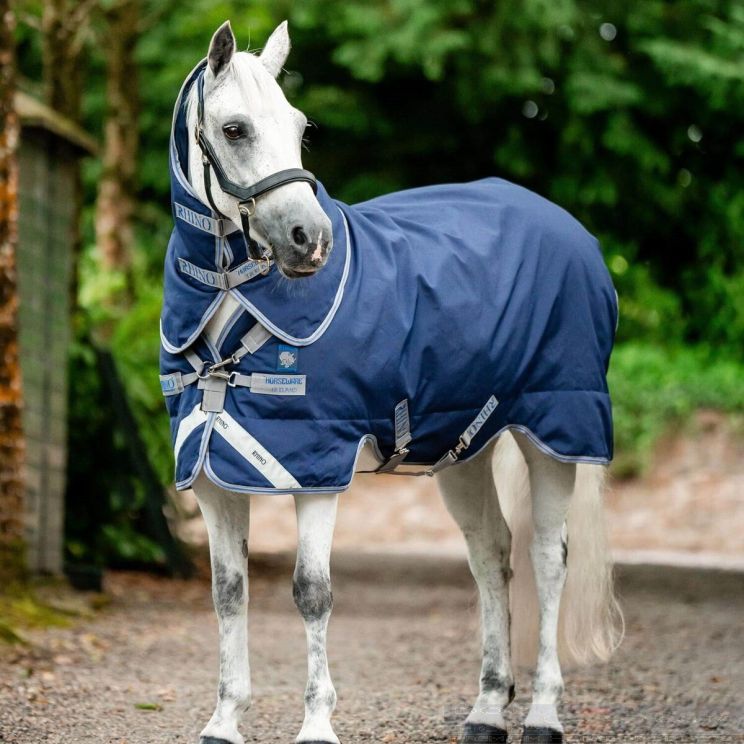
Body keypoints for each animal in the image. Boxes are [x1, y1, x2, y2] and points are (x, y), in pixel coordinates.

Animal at [160, 20, 622, 744]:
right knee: (491, 554)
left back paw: (543, 714)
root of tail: (573, 233)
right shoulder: (209, 471)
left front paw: (316, 725)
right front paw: (224, 721)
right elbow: (227, 592)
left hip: (555, 431)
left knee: (549, 560)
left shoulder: (315, 467)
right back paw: (486, 710)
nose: (309, 239)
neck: (235, 306)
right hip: (468, 448)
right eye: (234, 129)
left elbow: (311, 592)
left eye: (298, 126)